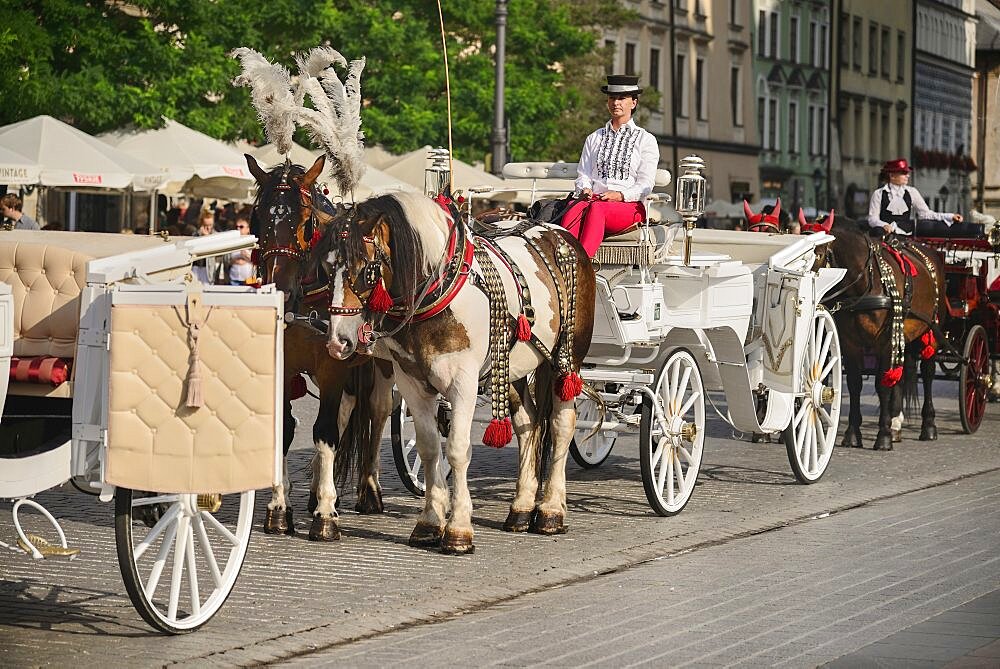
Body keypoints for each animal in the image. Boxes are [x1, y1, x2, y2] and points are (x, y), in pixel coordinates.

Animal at [246, 154, 394, 540]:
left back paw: (368, 489)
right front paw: (279, 507)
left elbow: (326, 432)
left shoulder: (332, 367)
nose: (279, 289)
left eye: (306, 220)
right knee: (348, 411)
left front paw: (325, 514)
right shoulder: (285, 365)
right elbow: (286, 428)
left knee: (377, 410)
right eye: (258, 217)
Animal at [812, 218, 944, 448]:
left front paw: (883, 435)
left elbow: (882, 386)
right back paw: (896, 423)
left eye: (818, 254)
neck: (865, 284)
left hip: (931, 329)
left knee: (928, 372)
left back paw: (928, 426)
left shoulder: (884, 342)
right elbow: (854, 384)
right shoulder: (850, 343)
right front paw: (853, 433)